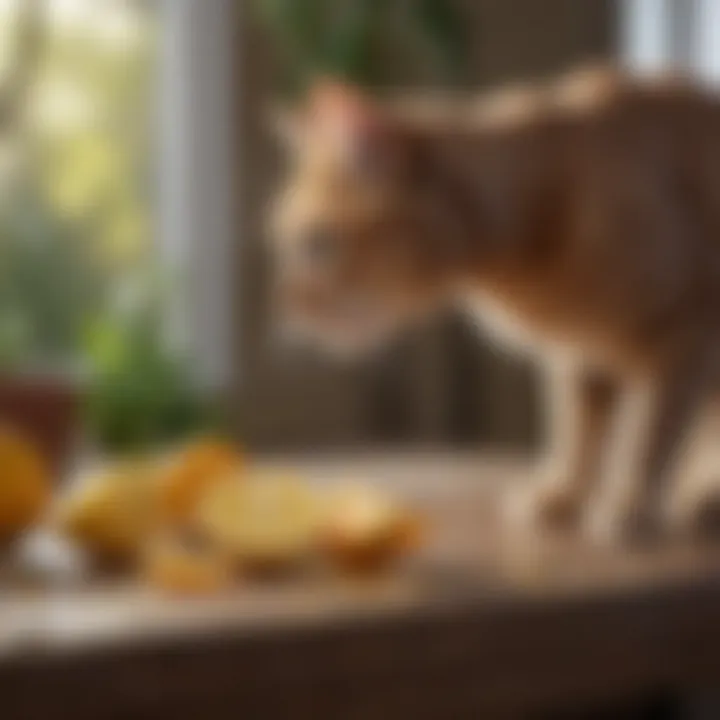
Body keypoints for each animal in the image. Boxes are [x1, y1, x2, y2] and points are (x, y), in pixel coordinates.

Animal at [268, 67, 720, 544]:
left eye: (317, 244)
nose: (286, 304)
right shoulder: (580, 354)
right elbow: (577, 435)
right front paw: (562, 494)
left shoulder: (688, 335)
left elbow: (649, 440)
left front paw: (630, 505)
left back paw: (704, 499)